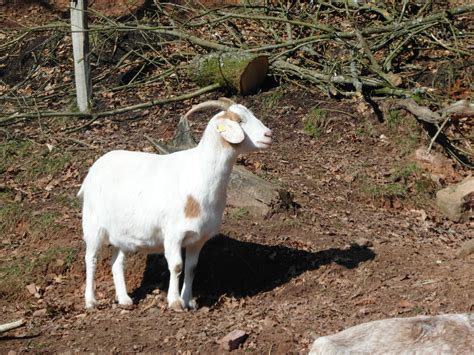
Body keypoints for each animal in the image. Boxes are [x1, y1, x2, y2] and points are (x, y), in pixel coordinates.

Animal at [76, 98, 272, 312]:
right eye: (240, 120)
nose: (269, 135)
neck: (199, 172)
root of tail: (94, 169)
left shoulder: (198, 238)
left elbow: (191, 268)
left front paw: (189, 301)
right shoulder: (173, 234)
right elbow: (177, 266)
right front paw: (175, 302)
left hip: (122, 234)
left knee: (116, 263)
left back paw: (124, 299)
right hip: (93, 225)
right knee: (91, 259)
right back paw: (90, 301)